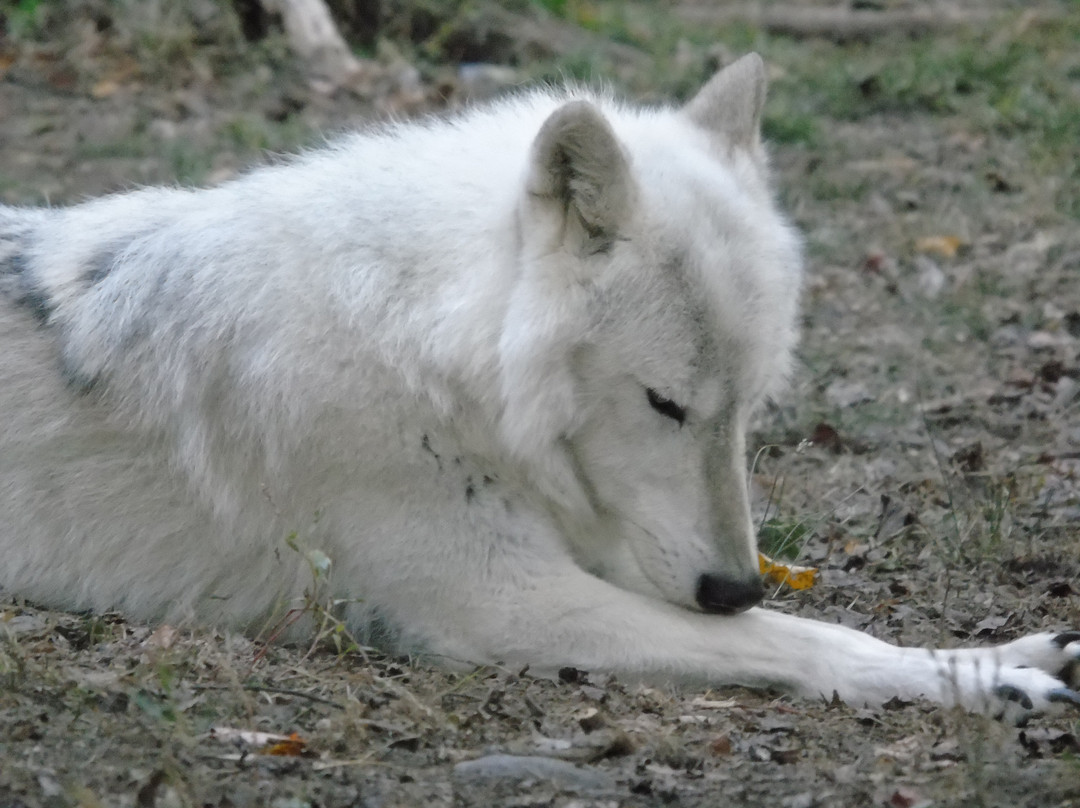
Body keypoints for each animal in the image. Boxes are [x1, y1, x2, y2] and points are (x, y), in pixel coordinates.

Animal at [1, 54, 1077, 720]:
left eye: (749, 409)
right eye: (666, 404)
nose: (732, 584)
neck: (420, 350)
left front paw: (1002, 657)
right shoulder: (501, 603)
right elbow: (796, 634)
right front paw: (980, 678)